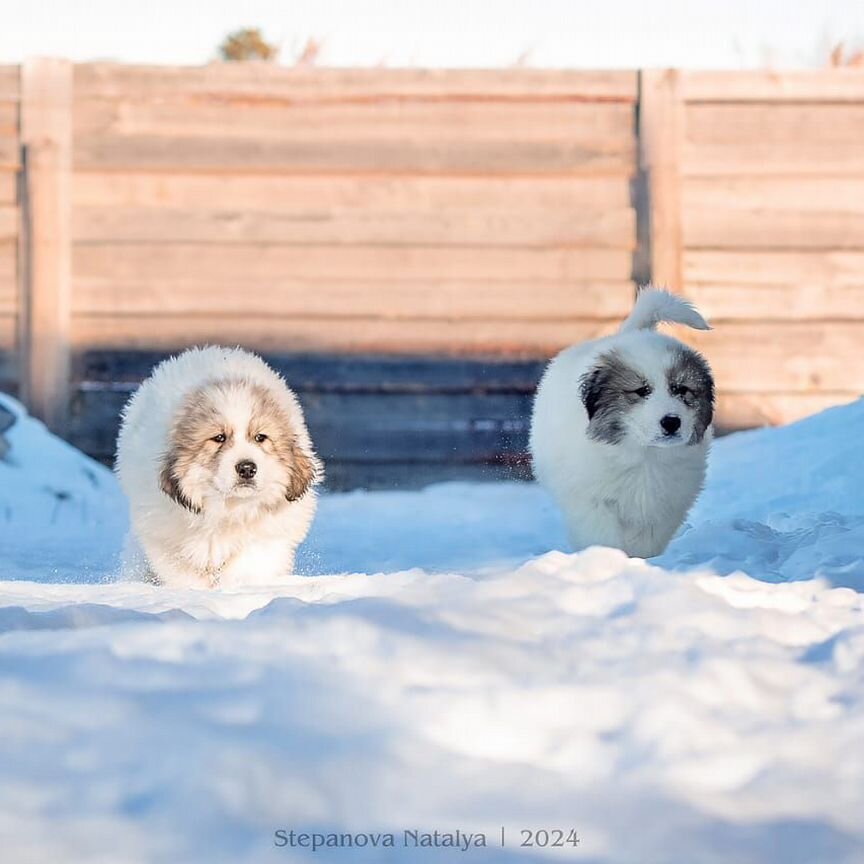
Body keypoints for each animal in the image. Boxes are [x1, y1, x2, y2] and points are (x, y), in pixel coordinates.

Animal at [111, 344, 320, 588]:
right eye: (219, 438)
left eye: (260, 437)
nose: (247, 468)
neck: (226, 509)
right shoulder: (163, 535)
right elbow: (183, 571)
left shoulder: (271, 532)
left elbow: (250, 562)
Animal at [532, 288, 716, 560]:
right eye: (642, 391)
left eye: (680, 389)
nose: (671, 422)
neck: (643, 455)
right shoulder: (591, 500)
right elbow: (602, 535)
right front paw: (607, 559)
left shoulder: (664, 505)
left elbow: (646, 541)